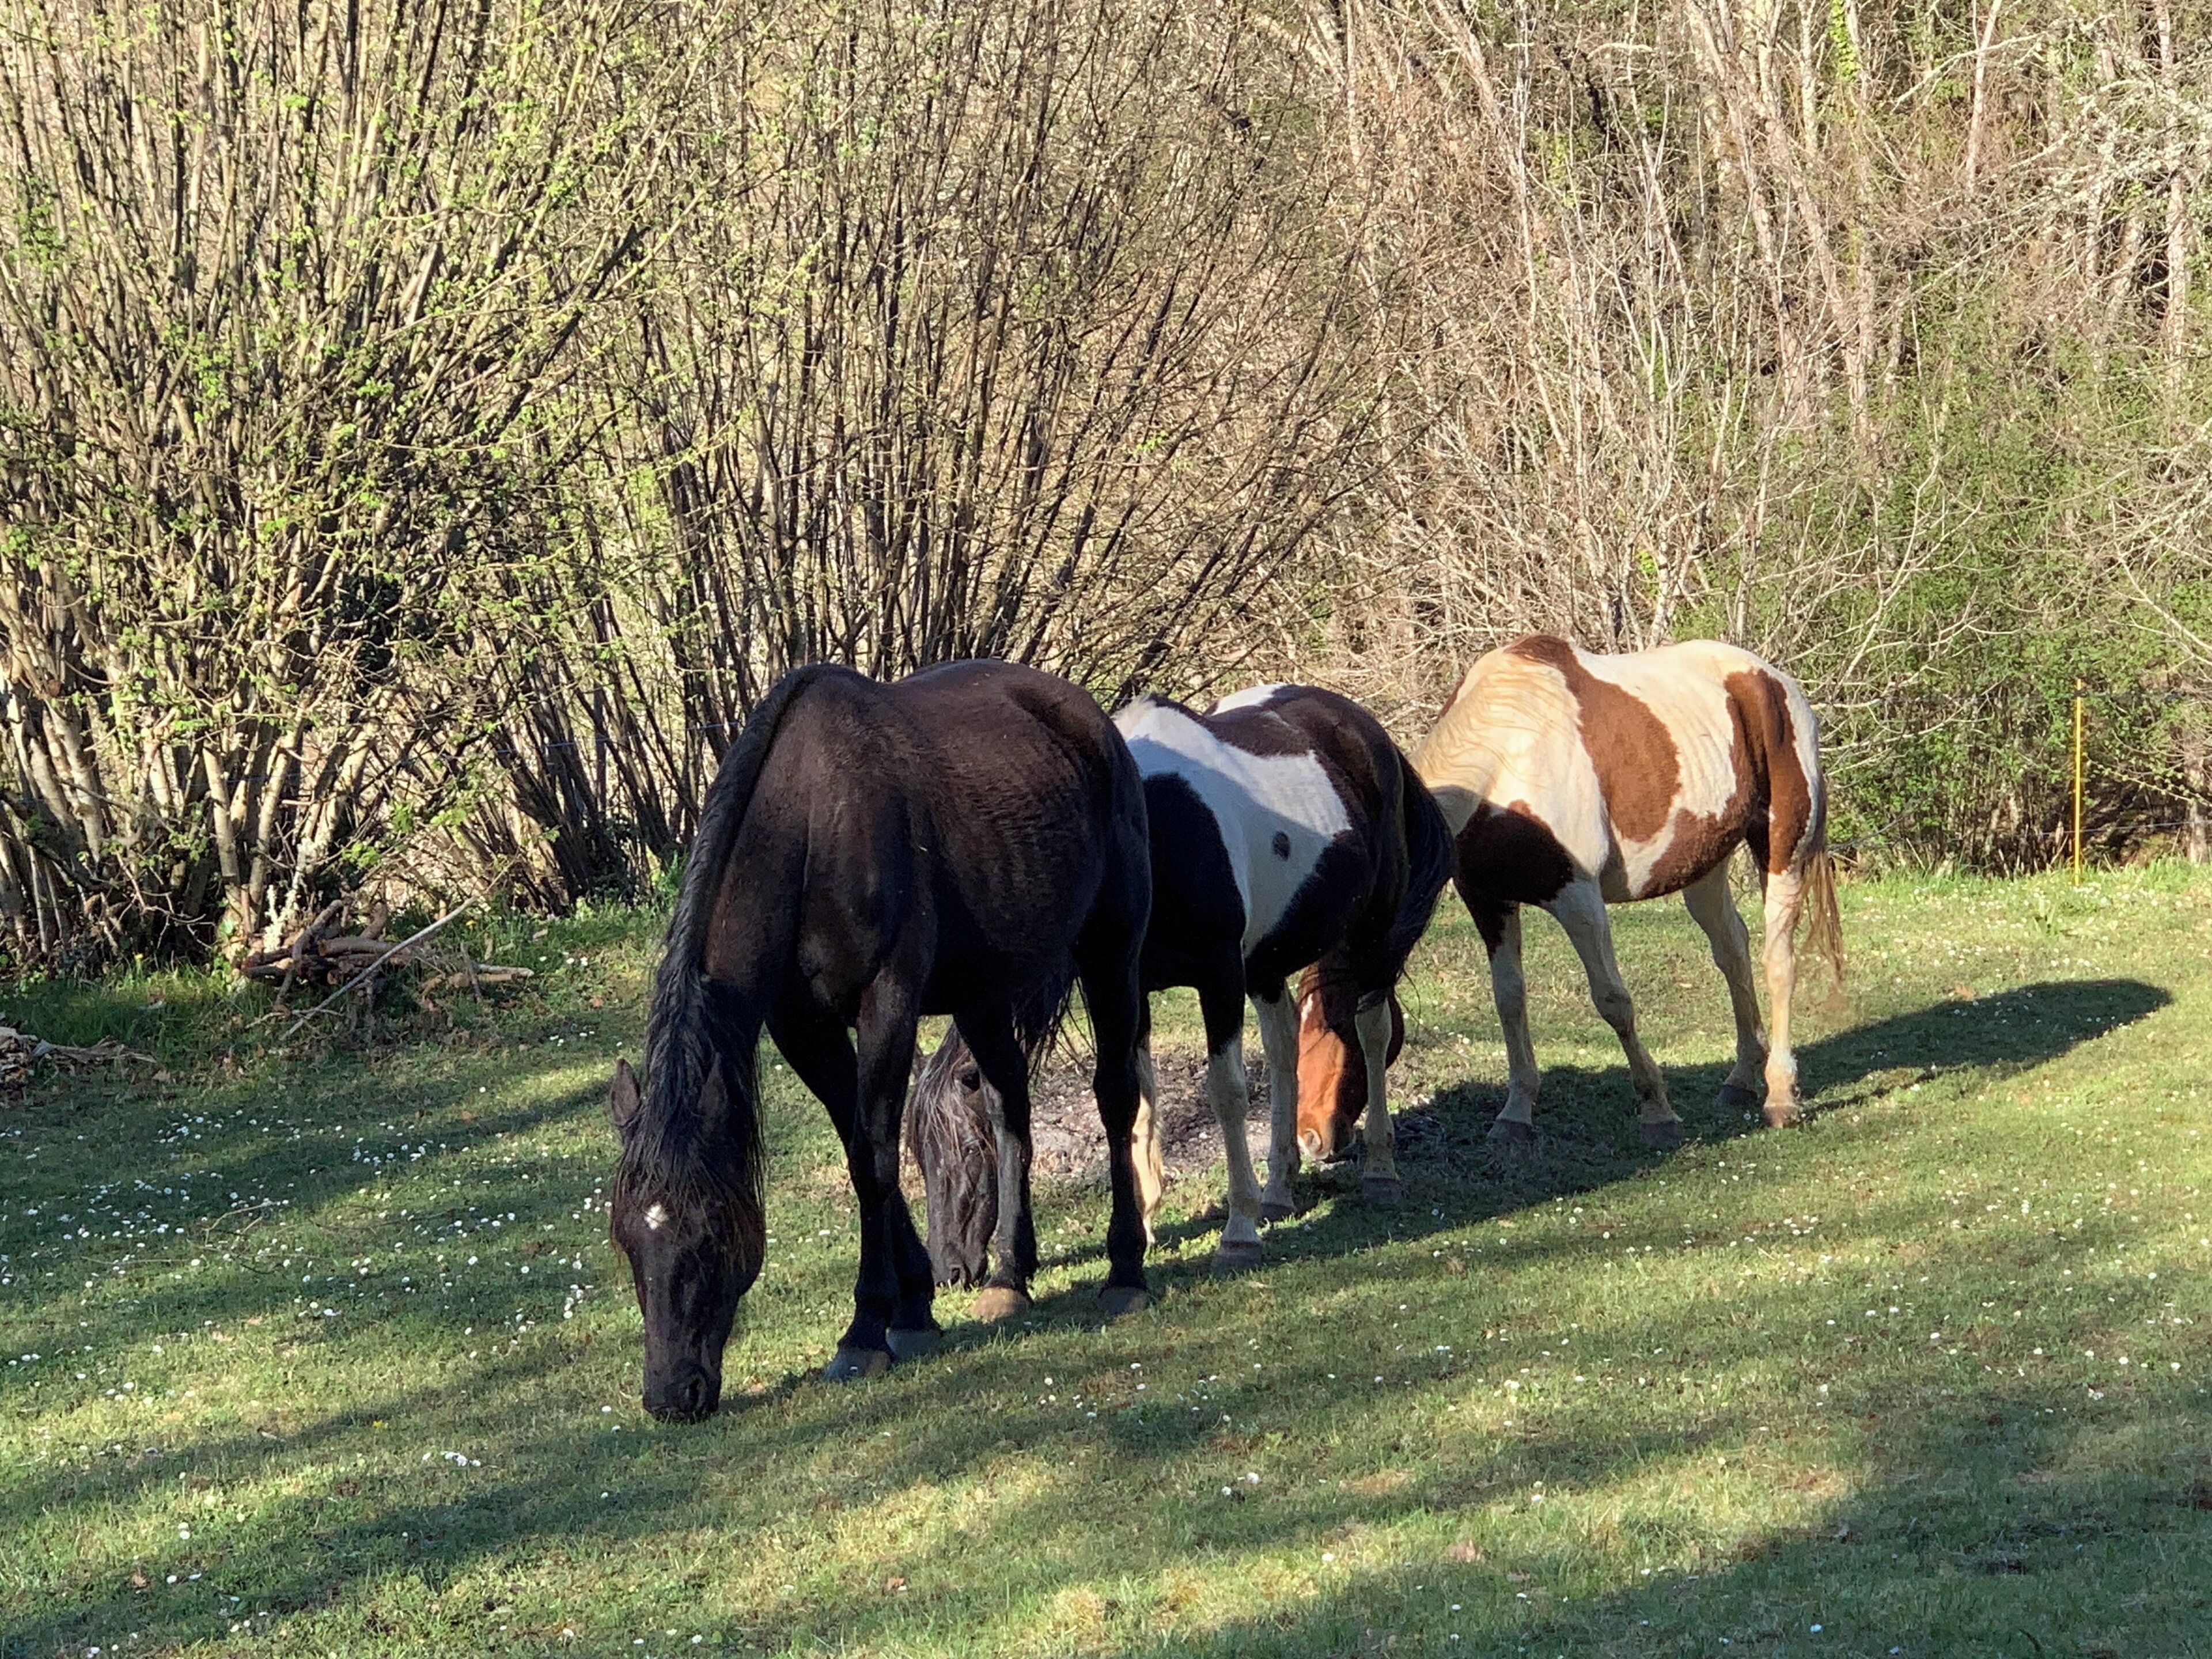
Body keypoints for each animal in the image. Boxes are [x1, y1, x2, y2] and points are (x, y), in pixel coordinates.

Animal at [606, 660, 1151, 1421]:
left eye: (711, 1229)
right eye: (626, 1235)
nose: (671, 1395)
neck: (808, 827)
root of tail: (1088, 716)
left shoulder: (886, 1003)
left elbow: (875, 1160)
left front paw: (867, 1330)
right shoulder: (803, 1027)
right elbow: (862, 1146)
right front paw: (914, 1306)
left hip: (1111, 953)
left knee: (1115, 1097)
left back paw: (1126, 1269)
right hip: (983, 995)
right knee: (1009, 1108)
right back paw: (1010, 1276)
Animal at [907, 682, 1454, 1277]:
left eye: (969, 1149)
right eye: (918, 1155)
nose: (949, 1269)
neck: (1149, 828)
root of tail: (1364, 729)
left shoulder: (1219, 976)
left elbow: (1227, 1093)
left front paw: (1238, 1232)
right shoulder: (1131, 987)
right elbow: (1141, 1099)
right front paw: (1143, 1228)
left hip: (1373, 934)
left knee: (1371, 1033)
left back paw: (1380, 1170)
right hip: (1267, 963)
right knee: (1283, 1047)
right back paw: (1279, 1190)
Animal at [1293, 635, 1842, 1156]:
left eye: (1333, 1023)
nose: (1309, 1137)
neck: (1508, 758)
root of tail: (1772, 680)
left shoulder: (1578, 900)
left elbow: (1614, 1001)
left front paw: (1658, 1111)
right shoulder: (1488, 901)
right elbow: (1509, 1000)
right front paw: (1515, 1116)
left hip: (1782, 850)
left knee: (1778, 960)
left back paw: (1780, 1095)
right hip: (1704, 868)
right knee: (1732, 950)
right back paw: (1741, 1080)